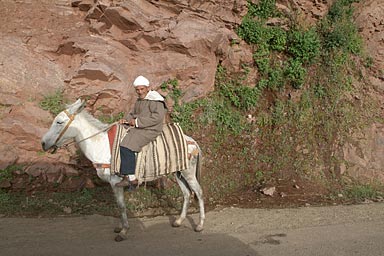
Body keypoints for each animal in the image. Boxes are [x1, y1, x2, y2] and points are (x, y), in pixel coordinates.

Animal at [41, 98, 206, 242]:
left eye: (59, 122)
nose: (43, 143)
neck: (102, 146)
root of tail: (192, 141)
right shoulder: (114, 185)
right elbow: (119, 205)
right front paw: (120, 227)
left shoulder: (115, 182)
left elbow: (121, 206)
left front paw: (123, 231)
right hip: (179, 172)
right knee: (187, 193)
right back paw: (179, 221)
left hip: (188, 173)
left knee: (198, 192)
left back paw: (199, 225)